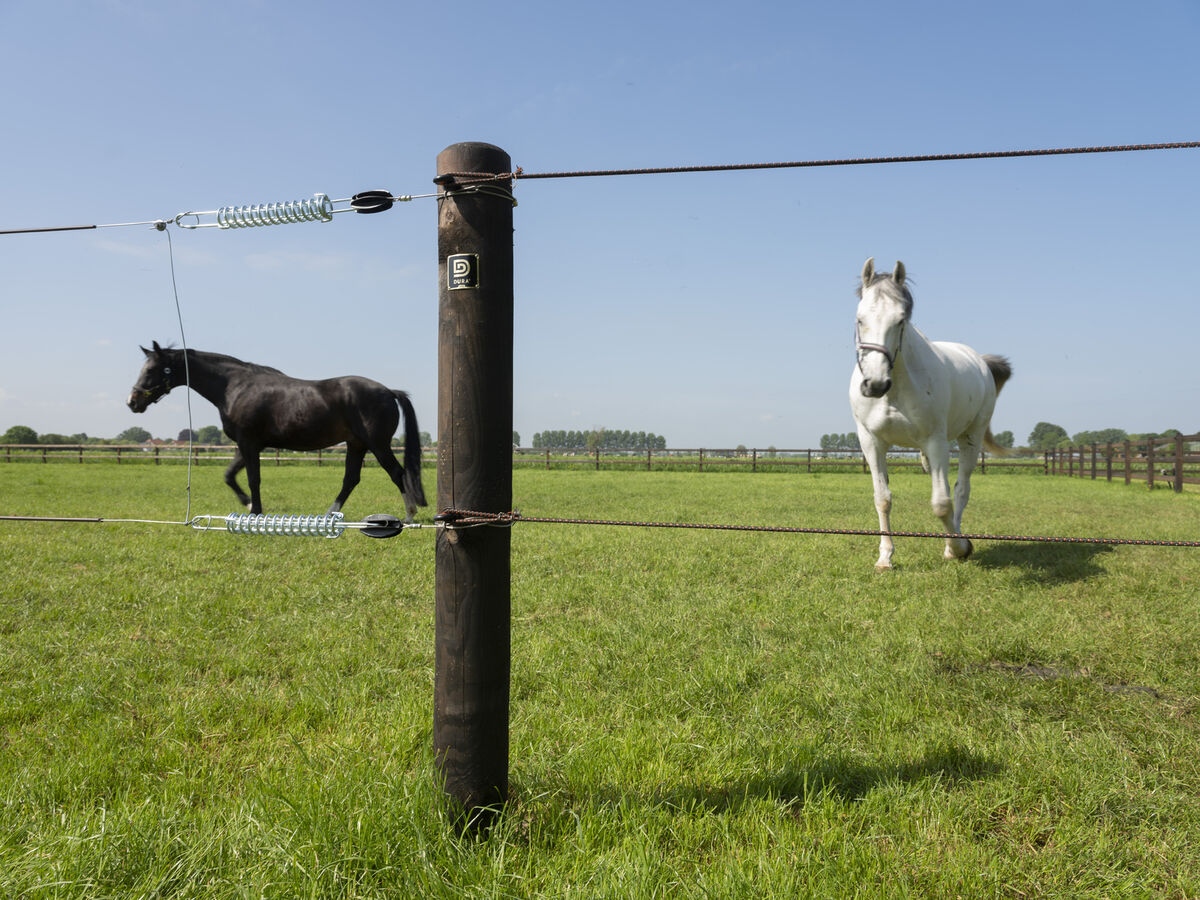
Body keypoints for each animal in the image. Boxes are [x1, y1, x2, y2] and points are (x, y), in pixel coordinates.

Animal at [127, 342, 427, 520]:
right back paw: (328, 514)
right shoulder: (246, 445)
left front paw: (255, 511)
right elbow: (229, 476)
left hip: (377, 445)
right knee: (351, 479)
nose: (132, 402)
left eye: (153, 369)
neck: (235, 386)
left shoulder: (249, 443)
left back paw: (409, 515)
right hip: (356, 445)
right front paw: (249, 505)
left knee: (397, 473)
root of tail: (389, 391)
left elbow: (253, 479)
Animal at [849, 259, 1011, 572]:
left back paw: (955, 543)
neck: (896, 388)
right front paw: (885, 558)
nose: (875, 384)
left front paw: (959, 548)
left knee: (960, 490)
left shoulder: (935, 442)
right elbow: (882, 499)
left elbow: (941, 503)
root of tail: (980, 362)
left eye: (900, 320)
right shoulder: (872, 442)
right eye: (859, 319)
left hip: (970, 437)